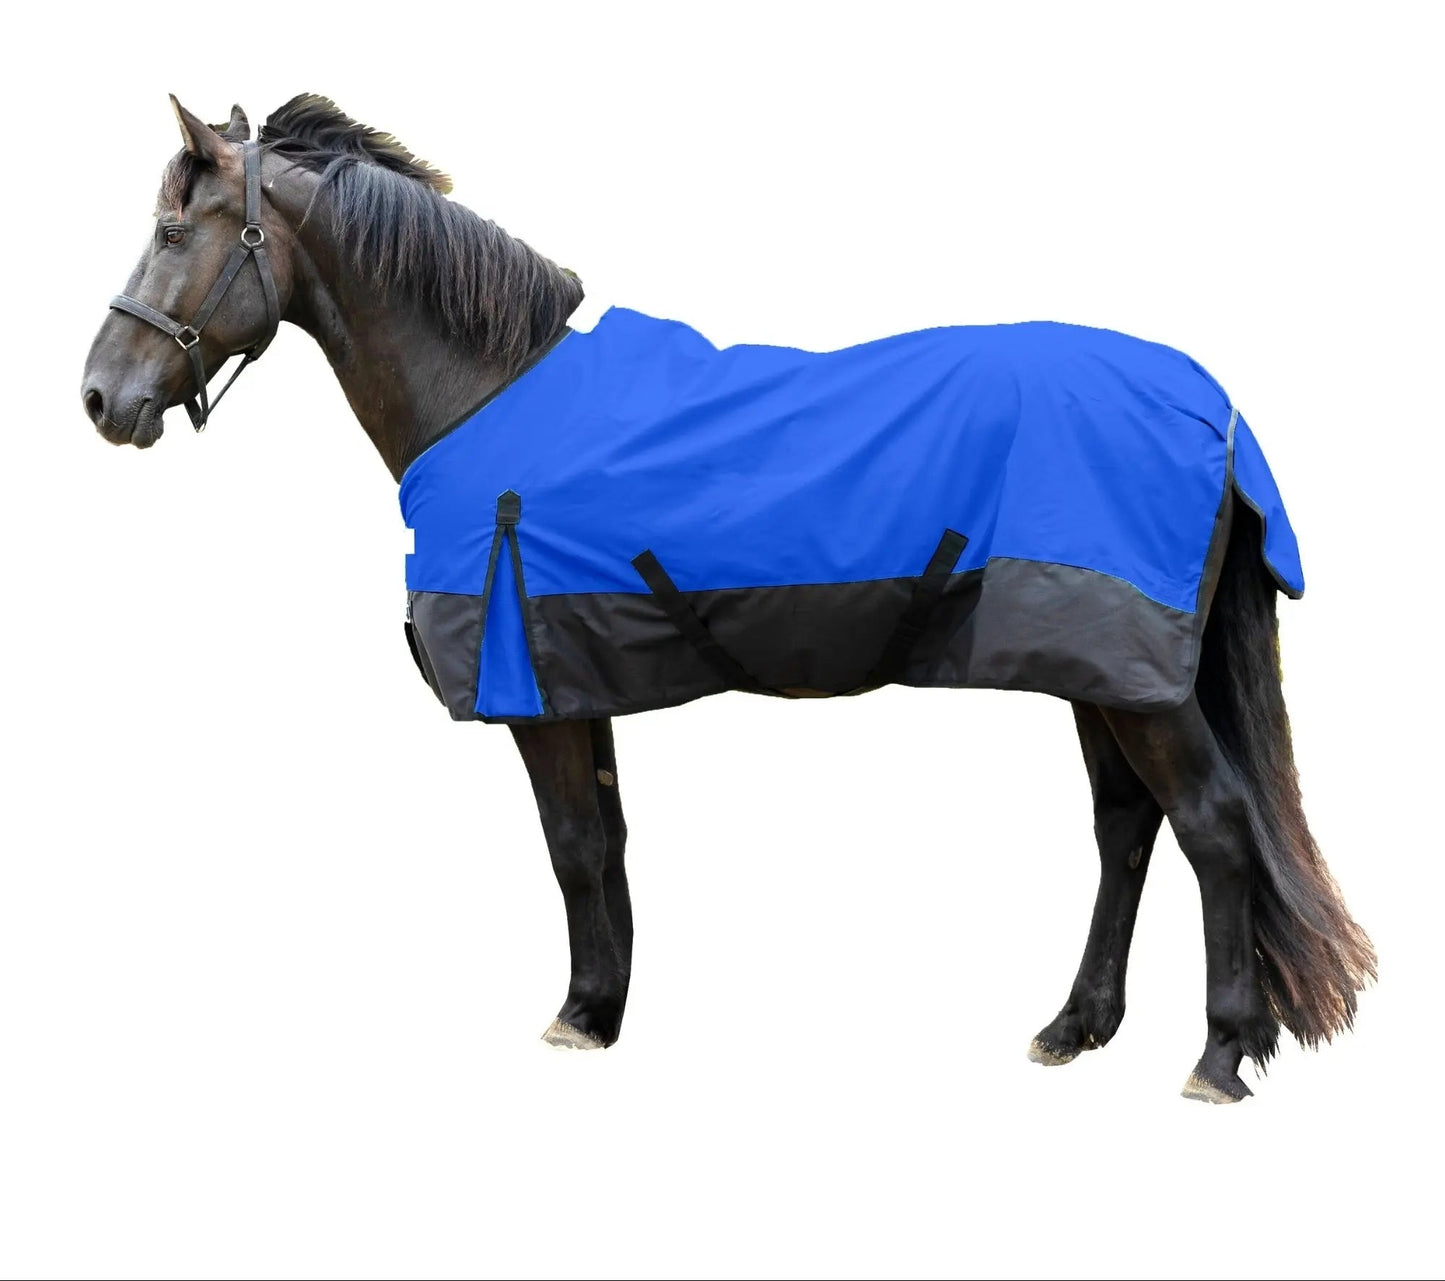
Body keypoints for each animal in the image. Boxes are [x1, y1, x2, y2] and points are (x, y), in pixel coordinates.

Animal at [80, 94, 1375, 1103]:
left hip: (1136, 682)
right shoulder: (575, 678)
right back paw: (1074, 1028)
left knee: (1211, 828)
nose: (99, 397)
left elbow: (570, 846)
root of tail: (1208, 405)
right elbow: (602, 843)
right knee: (1124, 829)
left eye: (170, 231)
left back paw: (1216, 1056)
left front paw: (575, 1017)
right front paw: (601, 1008)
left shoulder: (535, 688)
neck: (489, 393)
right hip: (1094, 671)